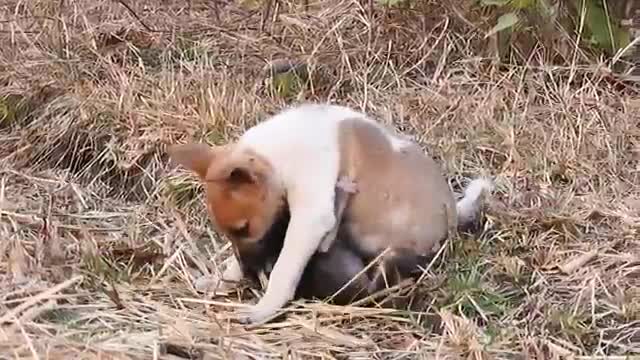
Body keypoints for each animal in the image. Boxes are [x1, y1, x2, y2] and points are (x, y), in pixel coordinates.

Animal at [168, 103, 492, 324]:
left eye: (244, 228)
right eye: (231, 233)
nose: (250, 275)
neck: (277, 156)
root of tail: (454, 212)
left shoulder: (310, 218)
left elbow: (285, 267)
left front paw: (265, 306)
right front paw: (223, 278)